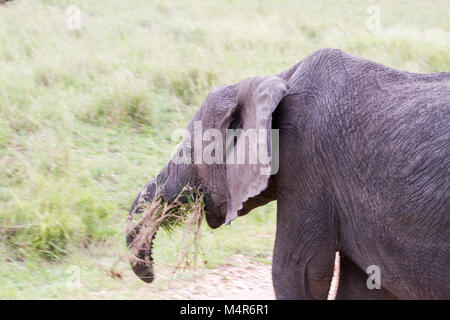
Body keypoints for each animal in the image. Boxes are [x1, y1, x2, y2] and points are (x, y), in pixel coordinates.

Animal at [125, 48, 450, 300]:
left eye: (188, 150)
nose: (152, 275)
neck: (278, 81)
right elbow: (365, 285)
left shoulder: (308, 165)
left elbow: (297, 272)